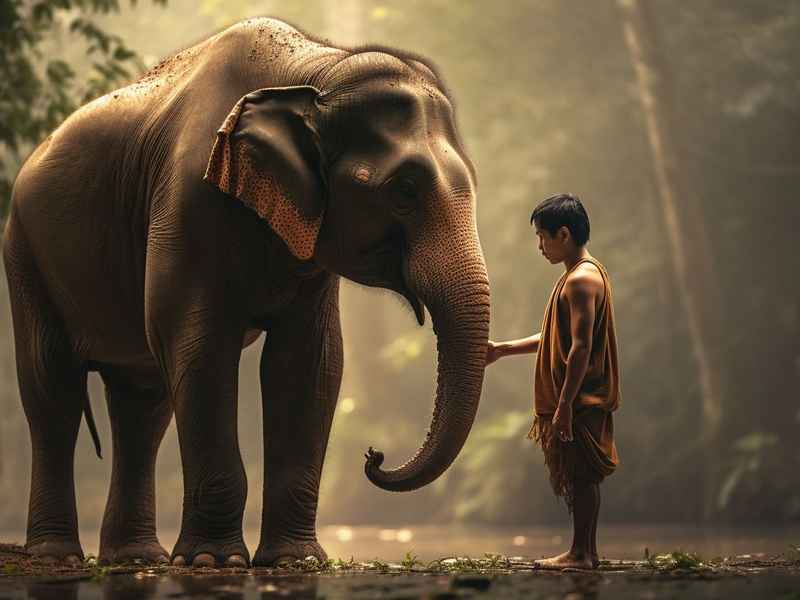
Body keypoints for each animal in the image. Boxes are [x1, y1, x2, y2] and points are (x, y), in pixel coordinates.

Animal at [3, 17, 490, 568]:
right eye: (404, 190)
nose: (374, 454)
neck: (315, 71)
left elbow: (309, 361)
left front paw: (294, 560)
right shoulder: (187, 197)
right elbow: (199, 345)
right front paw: (213, 561)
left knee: (142, 405)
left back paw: (135, 558)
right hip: (25, 253)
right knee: (52, 388)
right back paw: (56, 555)